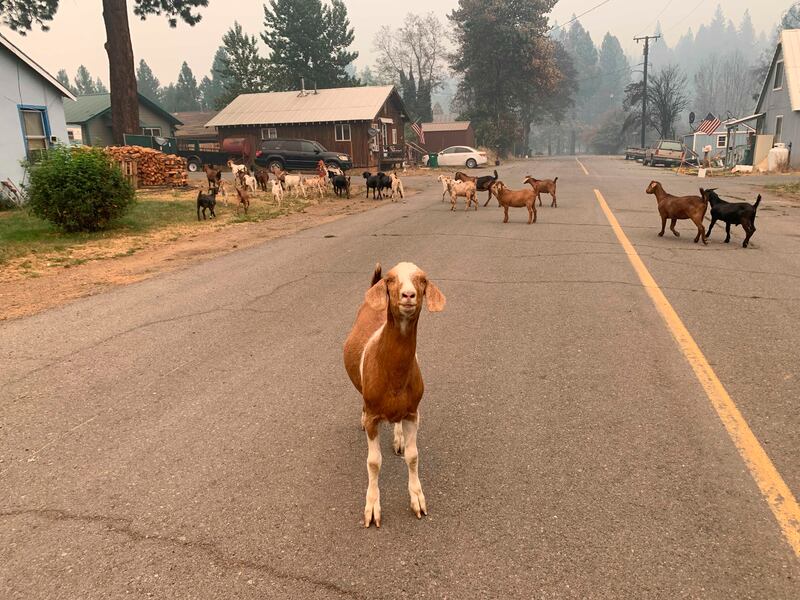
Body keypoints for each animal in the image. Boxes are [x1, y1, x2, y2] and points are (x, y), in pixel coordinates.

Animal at [342, 260, 446, 528]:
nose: (408, 295)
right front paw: (371, 508)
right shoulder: (373, 416)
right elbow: (373, 462)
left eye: (422, 279)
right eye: (391, 280)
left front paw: (418, 500)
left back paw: (398, 437)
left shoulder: (412, 413)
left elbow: (413, 456)